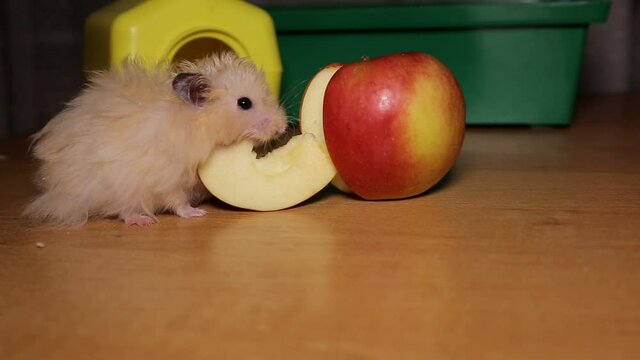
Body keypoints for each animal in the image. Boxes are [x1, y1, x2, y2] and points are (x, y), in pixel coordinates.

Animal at [23, 52, 288, 226]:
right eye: (244, 103)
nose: (282, 127)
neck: (198, 126)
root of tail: (54, 187)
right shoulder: (169, 178)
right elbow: (177, 201)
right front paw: (198, 214)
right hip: (115, 184)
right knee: (122, 209)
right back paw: (142, 221)